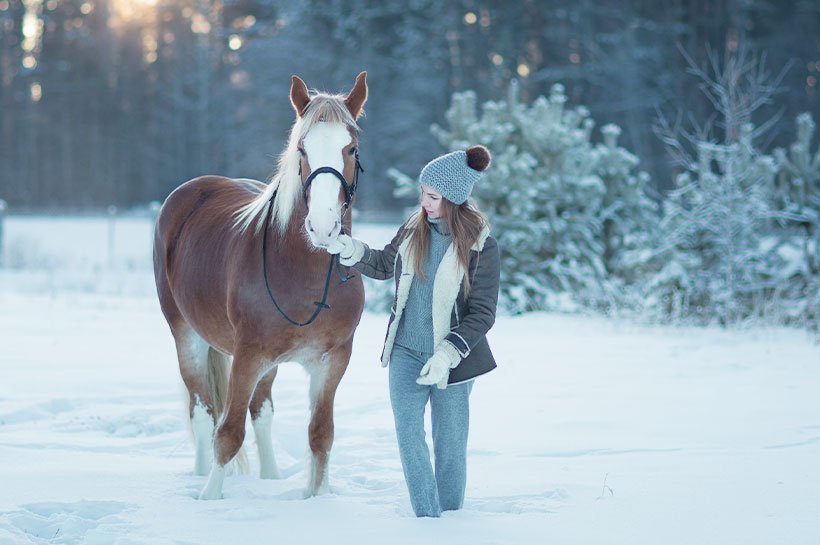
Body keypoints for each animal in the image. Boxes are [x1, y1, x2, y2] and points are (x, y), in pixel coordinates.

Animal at [153, 73, 368, 502]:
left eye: (350, 148)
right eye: (301, 148)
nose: (323, 228)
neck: (305, 276)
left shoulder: (334, 360)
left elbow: (320, 435)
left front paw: (317, 499)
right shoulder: (247, 356)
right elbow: (227, 434)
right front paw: (208, 498)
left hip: (269, 363)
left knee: (262, 412)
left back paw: (270, 478)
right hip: (187, 335)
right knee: (203, 413)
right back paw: (198, 476)